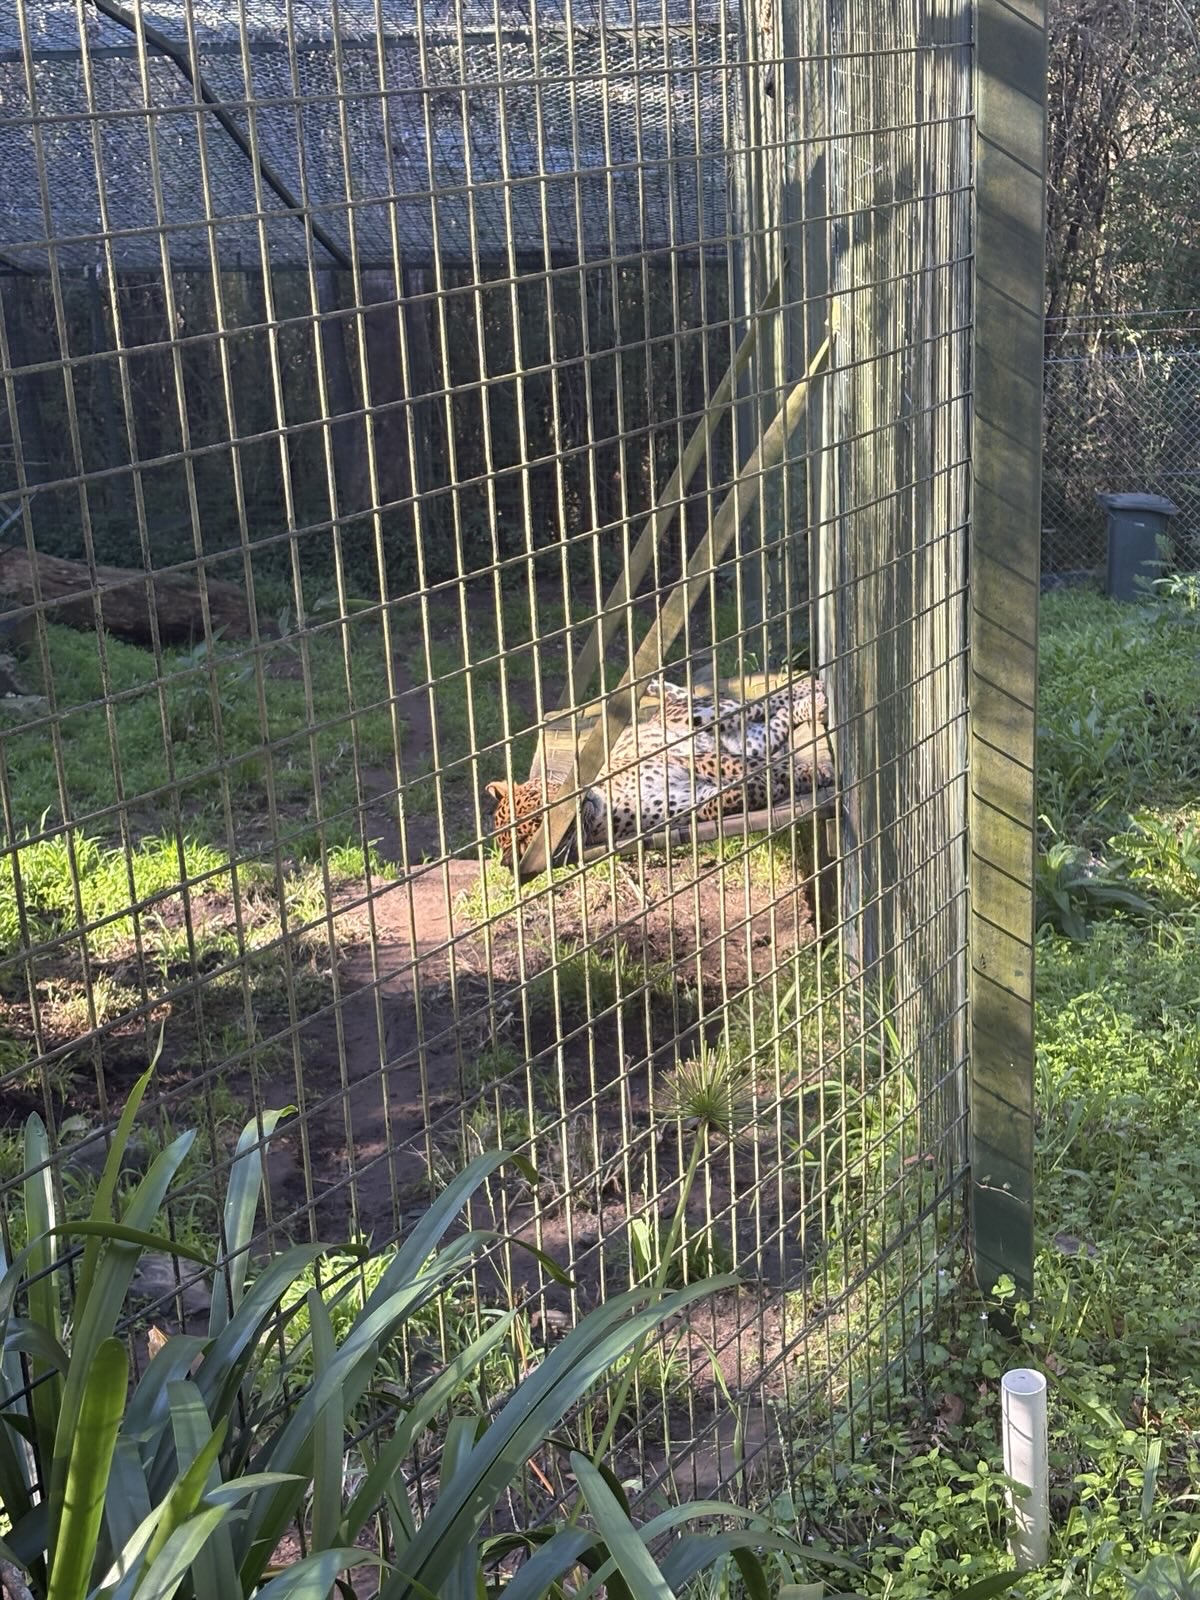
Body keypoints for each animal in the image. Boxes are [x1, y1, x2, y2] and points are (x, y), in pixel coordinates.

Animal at [485, 675, 831, 867]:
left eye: (548, 793)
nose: (581, 802)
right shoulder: (688, 804)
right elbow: (729, 794)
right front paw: (778, 783)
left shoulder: (690, 758)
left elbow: (746, 766)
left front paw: (810, 773)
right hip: (753, 738)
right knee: (778, 718)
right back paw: (812, 704)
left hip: (711, 714)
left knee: (764, 702)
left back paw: (812, 688)